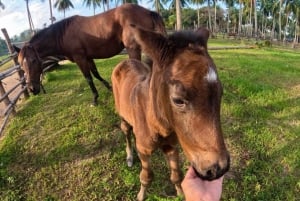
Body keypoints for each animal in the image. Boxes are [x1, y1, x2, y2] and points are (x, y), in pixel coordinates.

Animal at [15, 3, 166, 105]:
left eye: (34, 60)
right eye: (21, 66)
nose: (32, 88)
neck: (62, 35)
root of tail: (147, 11)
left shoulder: (80, 58)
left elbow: (88, 77)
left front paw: (95, 98)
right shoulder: (88, 57)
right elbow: (96, 74)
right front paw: (109, 87)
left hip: (134, 48)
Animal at [111, 25, 231, 201]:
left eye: (220, 93)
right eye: (178, 100)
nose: (218, 169)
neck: (158, 124)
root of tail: (125, 61)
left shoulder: (172, 146)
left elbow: (176, 175)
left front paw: (181, 193)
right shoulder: (144, 150)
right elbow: (146, 177)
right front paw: (141, 195)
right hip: (122, 115)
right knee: (126, 131)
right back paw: (130, 157)